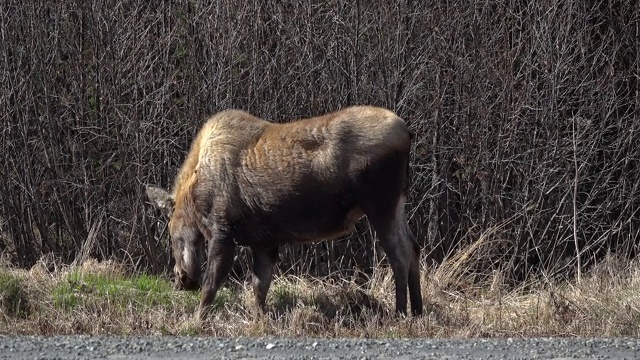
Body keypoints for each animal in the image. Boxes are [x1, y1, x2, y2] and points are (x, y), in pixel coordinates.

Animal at [147, 106, 422, 318]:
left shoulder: (223, 231)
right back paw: (417, 311)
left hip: (380, 205)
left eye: (171, 233)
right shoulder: (264, 240)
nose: (181, 279)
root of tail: (408, 133)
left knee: (400, 253)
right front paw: (259, 319)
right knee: (414, 247)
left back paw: (400, 313)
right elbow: (260, 286)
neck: (193, 194)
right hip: (397, 203)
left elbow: (211, 285)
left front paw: (198, 320)